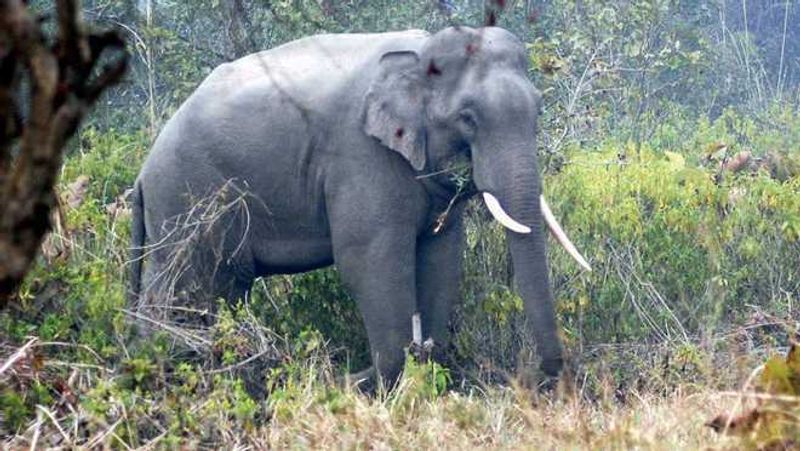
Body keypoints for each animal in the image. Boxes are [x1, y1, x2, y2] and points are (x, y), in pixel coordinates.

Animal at [129, 26, 591, 384]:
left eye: (538, 110)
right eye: (468, 118)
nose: (546, 374)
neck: (419, 52)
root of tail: (142, 172)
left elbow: (441, 257)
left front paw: (424, 366)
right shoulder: (361, 156)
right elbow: (372, 261)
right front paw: (382, 379)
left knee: (225, 289)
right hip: (182, 200)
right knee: (181, 290)